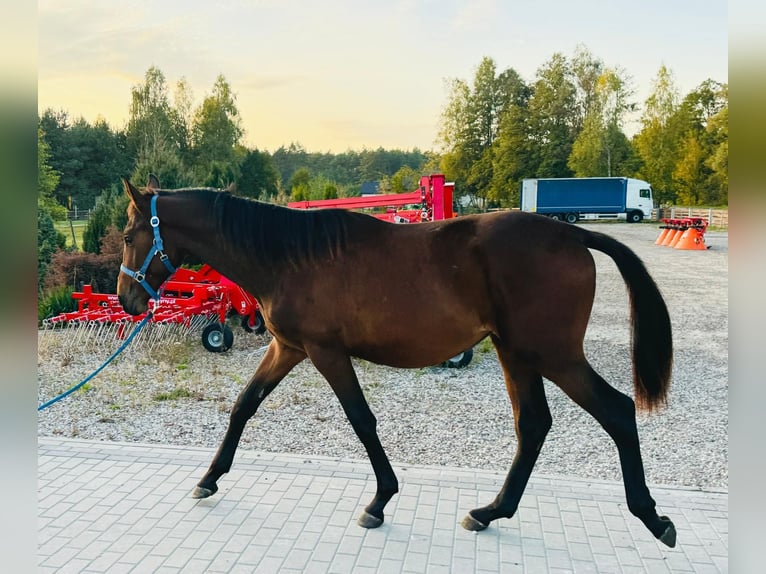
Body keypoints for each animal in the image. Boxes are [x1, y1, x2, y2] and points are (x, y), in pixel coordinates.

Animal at [117, 176, 676, 548]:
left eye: (127, 236)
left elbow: (361, 420)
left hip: (552, 355)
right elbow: (243, 406)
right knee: (534, 424)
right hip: (517, 354)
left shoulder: (325, 352)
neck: (287, 256)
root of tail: (574, 235)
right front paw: (209, 477)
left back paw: (652, 517)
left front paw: (380, 500)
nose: (127, 299)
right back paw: (491, 511)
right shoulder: (288, 348)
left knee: (617, 411)